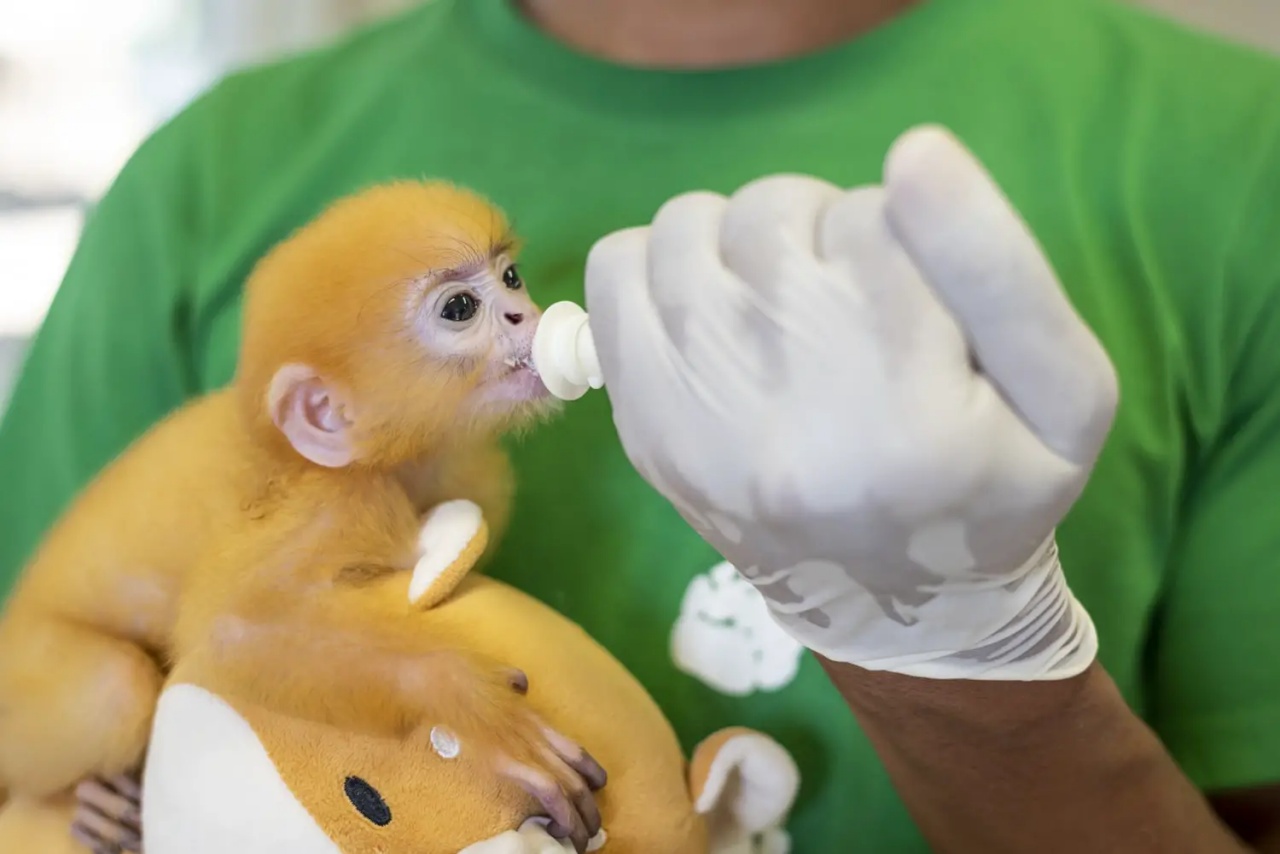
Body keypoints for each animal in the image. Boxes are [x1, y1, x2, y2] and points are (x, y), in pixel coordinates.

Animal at [0, 184, 606, 850]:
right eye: (461, 308)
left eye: (511, 278)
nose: (523, 313)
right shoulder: (334, 505)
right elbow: (233, 631)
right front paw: (469, 701)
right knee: (116, 691)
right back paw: (92, 804)